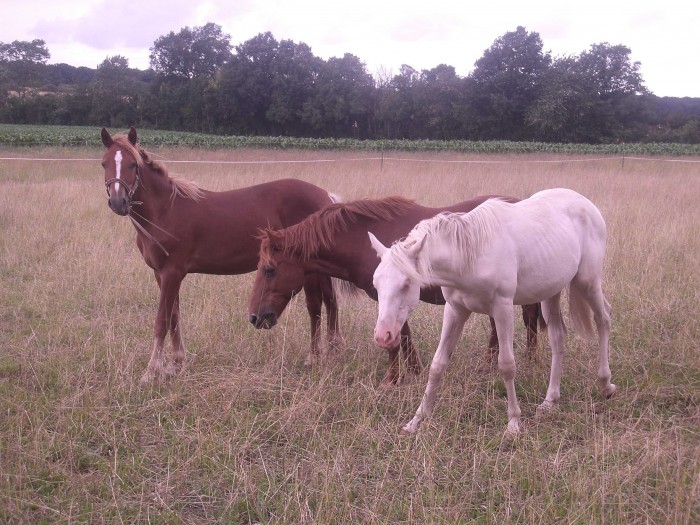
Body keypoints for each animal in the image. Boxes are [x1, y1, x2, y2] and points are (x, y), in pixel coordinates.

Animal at [102, 127, 344, 380]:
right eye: (103, 163)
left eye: (132, 164)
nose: (118, 202)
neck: (165, 210)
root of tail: (327, 197)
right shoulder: (162, 275)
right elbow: (174, 317)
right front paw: (175, 364)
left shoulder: (172, 273)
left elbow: (162, 320)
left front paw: (150, 372)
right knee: (330, 302)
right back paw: (332, 351)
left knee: (316, 306)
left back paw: (314, 357)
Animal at [249, 196, 544, 384]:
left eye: (270, 269)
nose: (255, 317)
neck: (360, 241)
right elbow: (403, 336)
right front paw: (413, 371)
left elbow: (394, 341)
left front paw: (392, 379)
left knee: (529, 320)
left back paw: (530, 361)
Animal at [370, 188, 616, 434]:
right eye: (376, 283)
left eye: (406, 284)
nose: (383, 336)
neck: (469, 257)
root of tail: (585, 203)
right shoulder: (455, 310)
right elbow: (437, 365)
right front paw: (416, 421)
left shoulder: (502, 308)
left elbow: (506, 365)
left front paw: (513, 423)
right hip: (551, 292)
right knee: (558, 337)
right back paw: (550, 402)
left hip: (588, 282)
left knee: (603, 319)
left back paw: (606, 384)